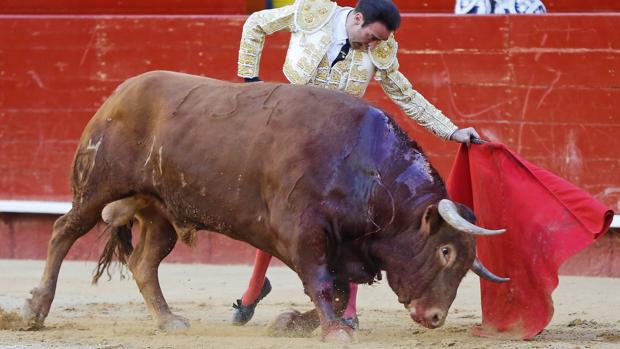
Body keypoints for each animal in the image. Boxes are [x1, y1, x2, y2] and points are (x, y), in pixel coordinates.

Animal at [23, 70, 508, 340]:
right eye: (444, 251)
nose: (435, 317)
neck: (365, 165)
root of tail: (118, 93)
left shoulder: (344, 245)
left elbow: (337, 287)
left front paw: (299, 322)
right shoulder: (303, 232)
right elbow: (322, 282)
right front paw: (333, 331)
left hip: (160, 211)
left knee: (144, 263)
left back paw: (168, 321)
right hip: (97, 187)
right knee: (63, 232)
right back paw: (34, 310)